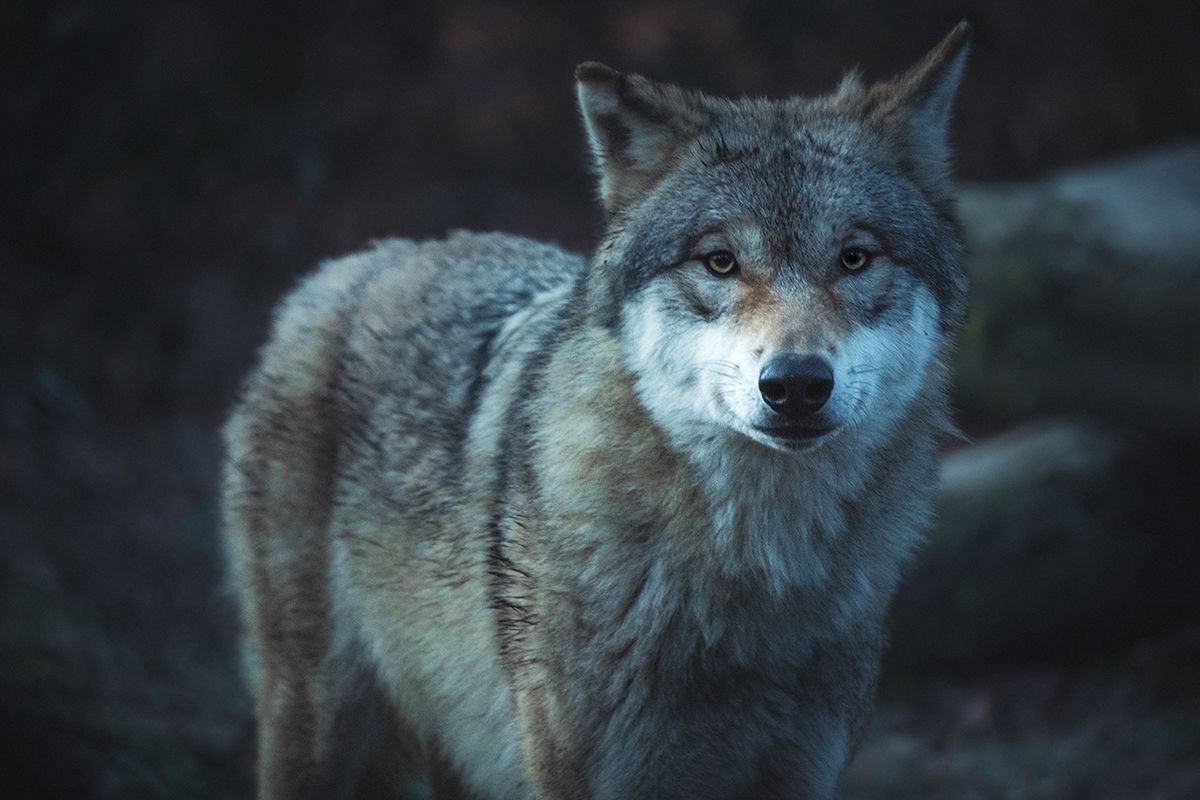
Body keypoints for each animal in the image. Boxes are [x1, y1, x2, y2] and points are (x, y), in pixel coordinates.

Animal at [221, 23, 970, 800]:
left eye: (854, 258)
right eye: (720, 262)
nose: (795, 384)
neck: (755, 584)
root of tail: (336, 271)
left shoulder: (805, 771)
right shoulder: (578, 774)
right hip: (317, 730)